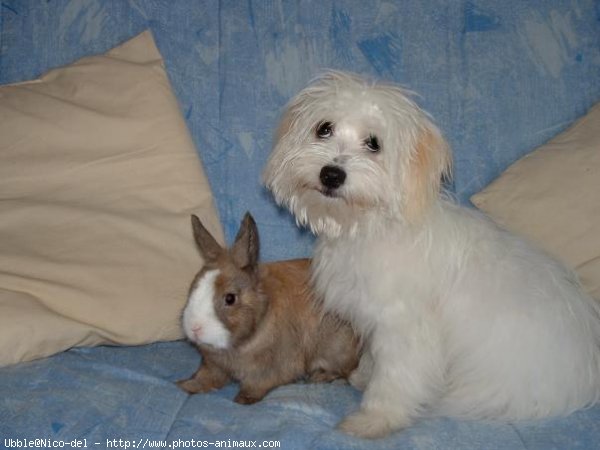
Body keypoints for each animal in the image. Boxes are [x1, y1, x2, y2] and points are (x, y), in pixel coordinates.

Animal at [176, 212, 358, 404]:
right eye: (193, 285)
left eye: (230, 298)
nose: (194, 328)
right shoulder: (213, 365)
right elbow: (206, 377)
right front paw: (185, 385)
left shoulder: (269, 370)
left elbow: (256, 386)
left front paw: (242, 400)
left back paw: (319, 377)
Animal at [264, 72, 600, 438]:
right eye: (323, 128)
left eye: (374, 144)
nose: (331, 174)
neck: (373, 226)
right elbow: (374, 361)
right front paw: (363, 377)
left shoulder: (405, 328)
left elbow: (395, 378)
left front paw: (373, 419)